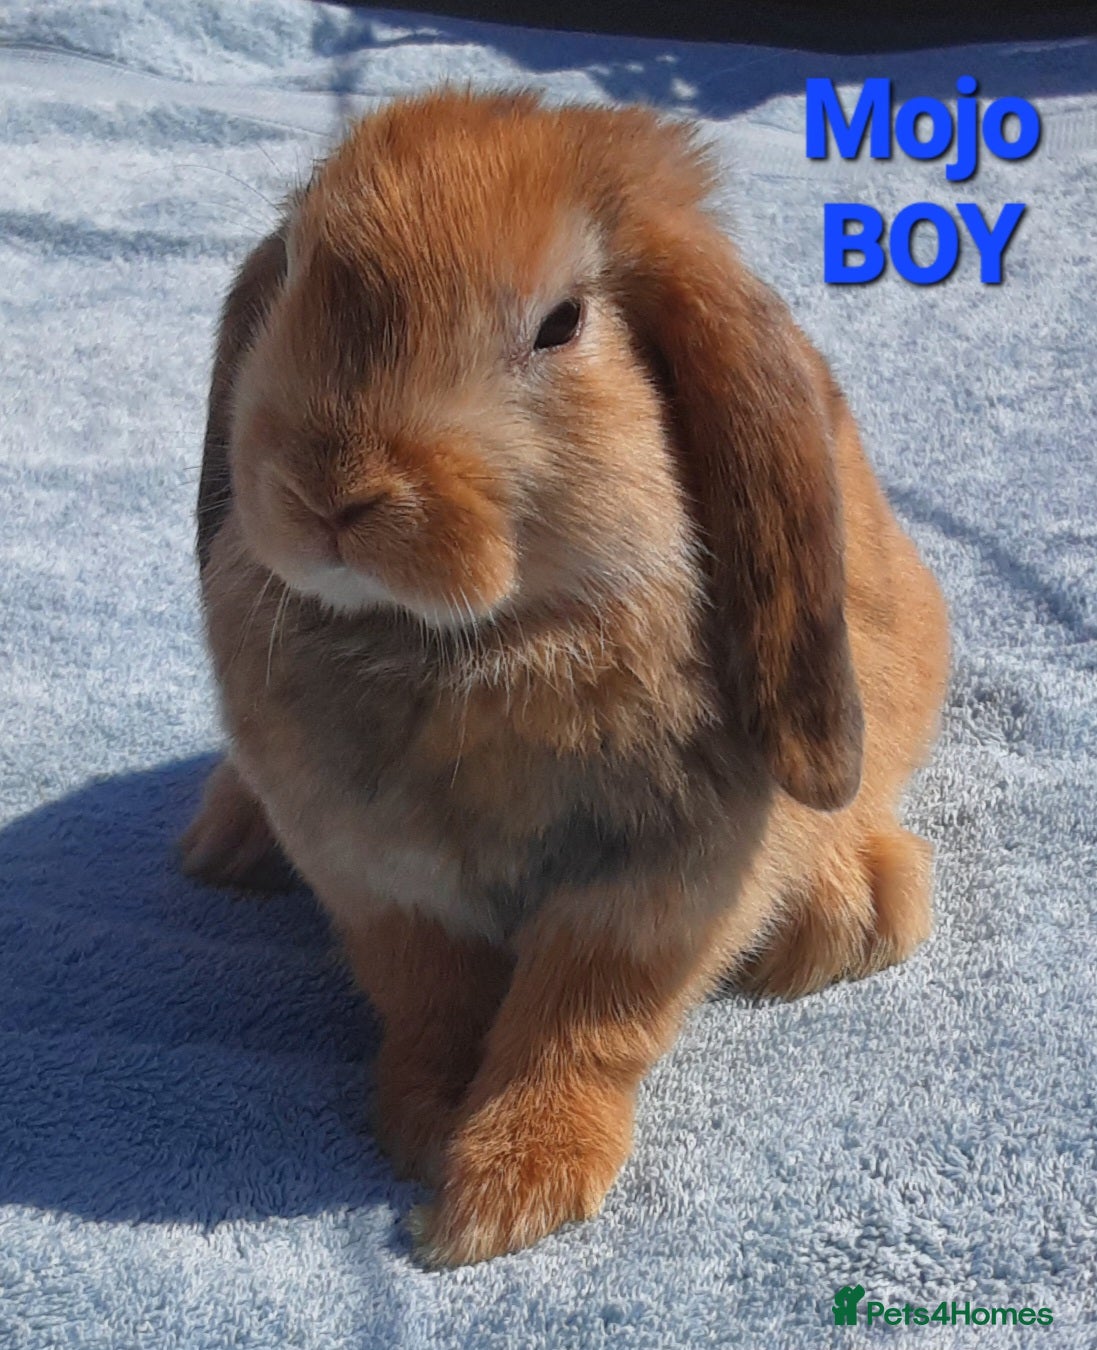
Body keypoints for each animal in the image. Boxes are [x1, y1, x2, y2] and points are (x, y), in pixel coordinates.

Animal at [179, 88, 950, 1266]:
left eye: (559, 325)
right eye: (298, 276)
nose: (331, 492)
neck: (475, 645)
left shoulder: (650, 891)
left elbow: (578, 1023)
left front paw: (506, 1194)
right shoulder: (385, 885)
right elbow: (430, 1003)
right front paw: (423, 1125)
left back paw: (848, 910)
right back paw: (221, 842)